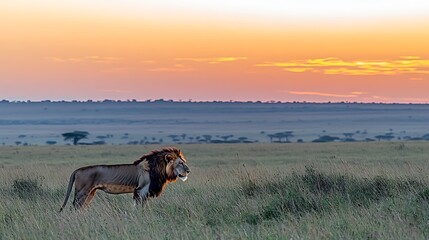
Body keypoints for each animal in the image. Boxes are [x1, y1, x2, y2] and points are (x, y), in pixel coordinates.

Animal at [59, 146, 190, 212]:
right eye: (180, 163)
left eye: (184, 162)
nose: (188, 171)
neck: (157, 169)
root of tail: (77, 170)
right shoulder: (141, 190)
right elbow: (138, 207)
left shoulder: (145, 192)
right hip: (82, 192)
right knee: (75, 206)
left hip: (90, 192)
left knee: (81, 207)